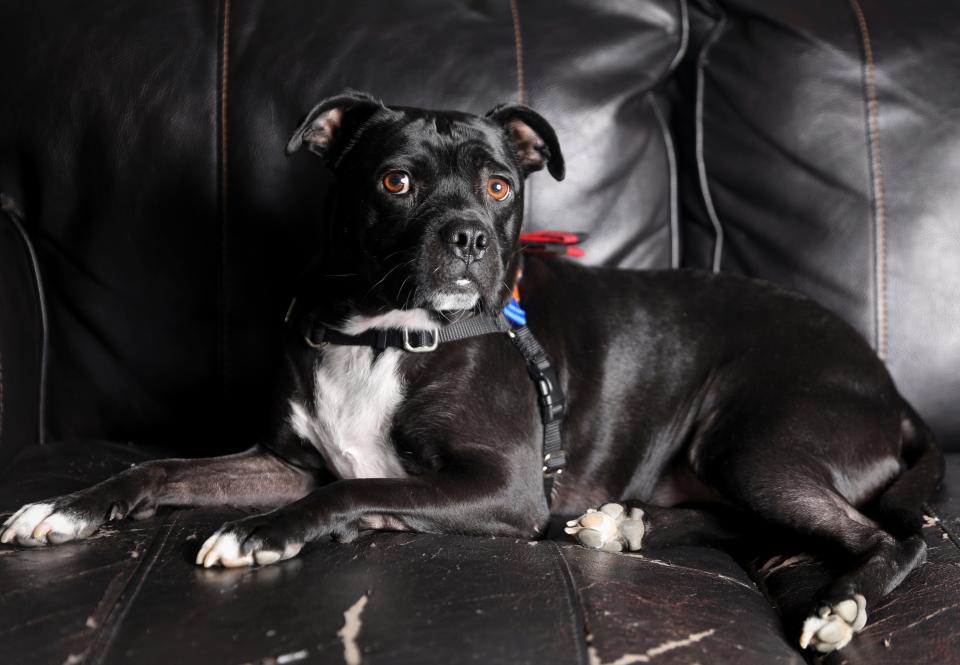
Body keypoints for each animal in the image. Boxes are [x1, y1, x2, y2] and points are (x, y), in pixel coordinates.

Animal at [1, 89, 944, 652]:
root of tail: (891, 389)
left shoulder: (502, 487)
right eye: (396, 180)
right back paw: (620, 525)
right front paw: (65, 508)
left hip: (751, 443)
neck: (384, 335)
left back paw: (838, 606)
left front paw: (267, 531)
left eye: (498, 187)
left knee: (887, 536)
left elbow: (355, 487)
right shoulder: (283, 459)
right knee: (755, 524)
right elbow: (159, 466)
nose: (466, 238)